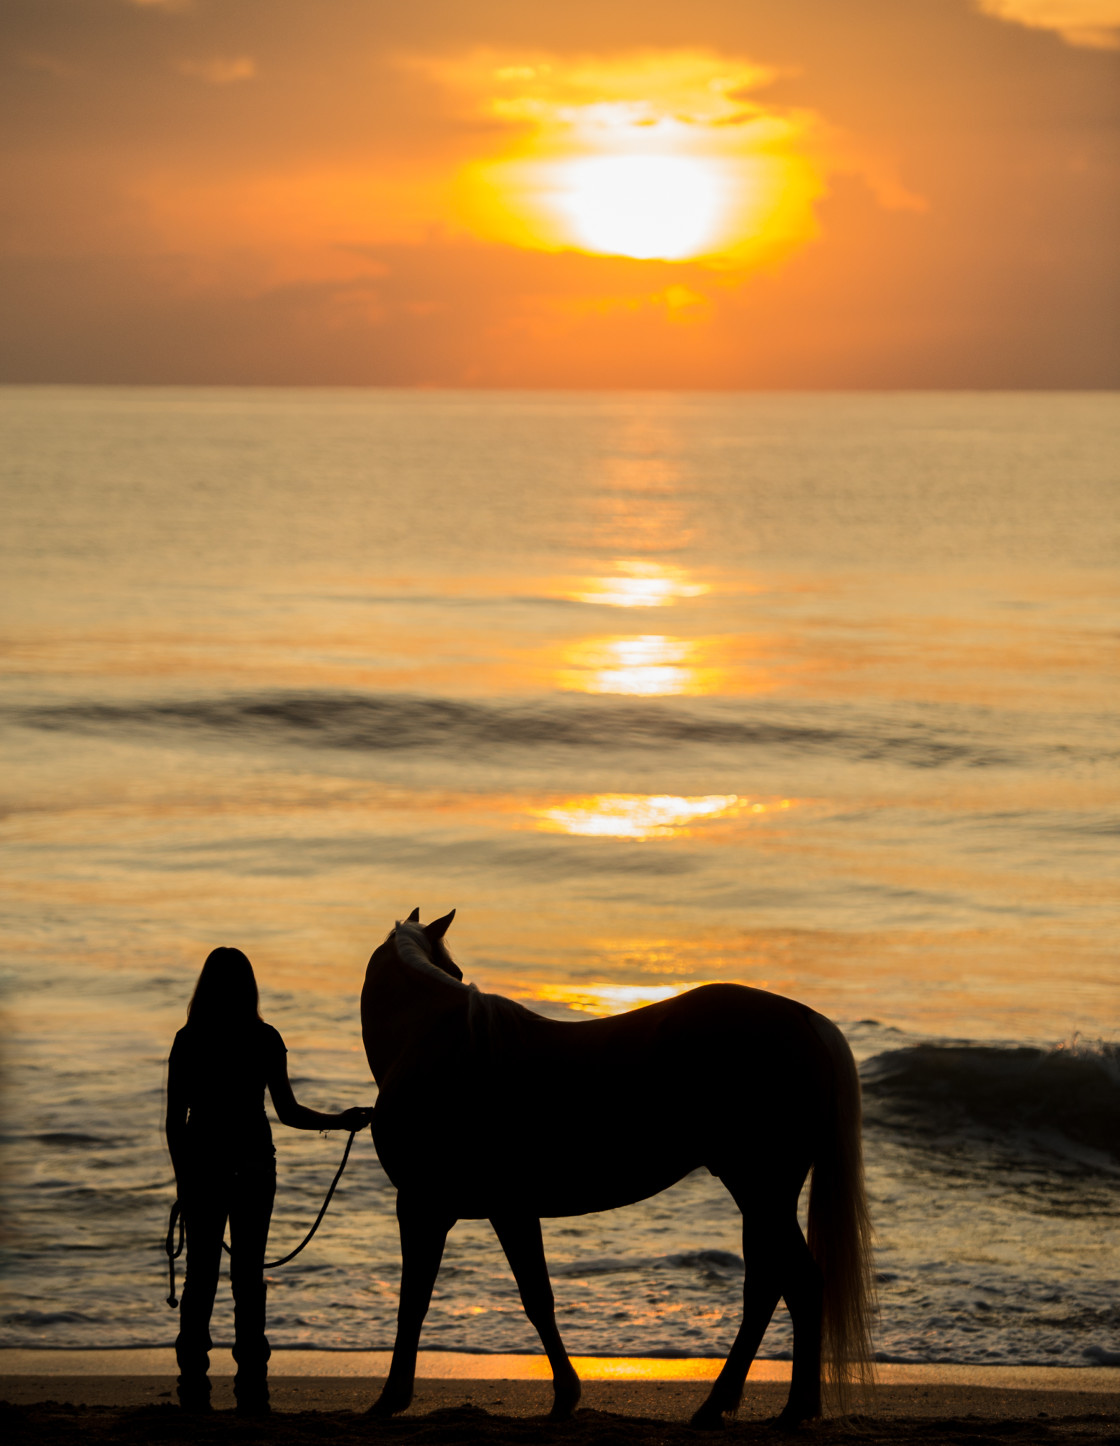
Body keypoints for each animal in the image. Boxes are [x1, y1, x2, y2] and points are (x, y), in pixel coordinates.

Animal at [359, 908, 878, 1428]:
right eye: (456, 970)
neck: (433, 1044)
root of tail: (805, 1019)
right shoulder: (510, 1211)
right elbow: (537, 1299)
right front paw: (565, 1396)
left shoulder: (424, 1207)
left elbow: (415, 1303)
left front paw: (390, 1398)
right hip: (763, 1196)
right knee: (777, 1287)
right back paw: (751, 1406)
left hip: (761, 1189)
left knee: (793, 1284)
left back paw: (773, 1408)